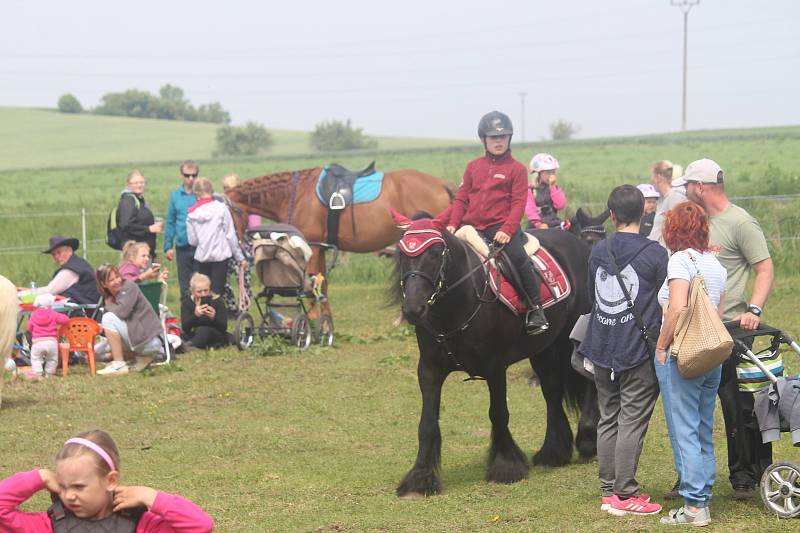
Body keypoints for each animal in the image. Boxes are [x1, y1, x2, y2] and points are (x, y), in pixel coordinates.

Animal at [228, 168, 456, 314]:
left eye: (228, 211)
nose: (236, 243)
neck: (296, 194)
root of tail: (444, 184)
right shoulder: (320, 248)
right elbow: (322, 285)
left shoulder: (312, 247)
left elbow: (314, 286)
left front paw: (312, 321)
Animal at [388, 211, 600, 494]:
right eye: (402, 254)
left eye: (435, 252)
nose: (413, 309)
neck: (459, 302)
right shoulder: (429, 369)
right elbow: (427, 422)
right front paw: (420, 479)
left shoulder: (495, 367)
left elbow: (498, 413)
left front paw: (505, 466)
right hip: (543, 348)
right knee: (552, 391)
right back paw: (552, 453)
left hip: (576, 329)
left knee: (587, 380)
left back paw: (587, 440)